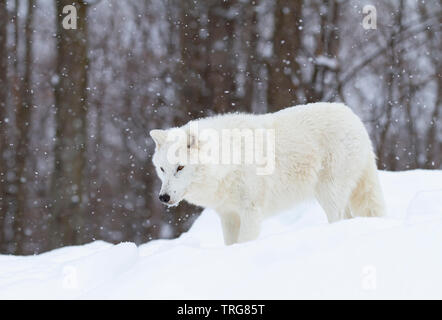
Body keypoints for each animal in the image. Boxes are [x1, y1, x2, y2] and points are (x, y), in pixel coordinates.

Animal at [150, 102, 386, 245]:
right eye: (162, 169)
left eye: (180, 167)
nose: (163, 198)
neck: (228, 159)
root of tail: (355, 118)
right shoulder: (228, 215)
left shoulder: (250, 211)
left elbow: (245, 242)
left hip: (328, 193)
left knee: (337, 218)